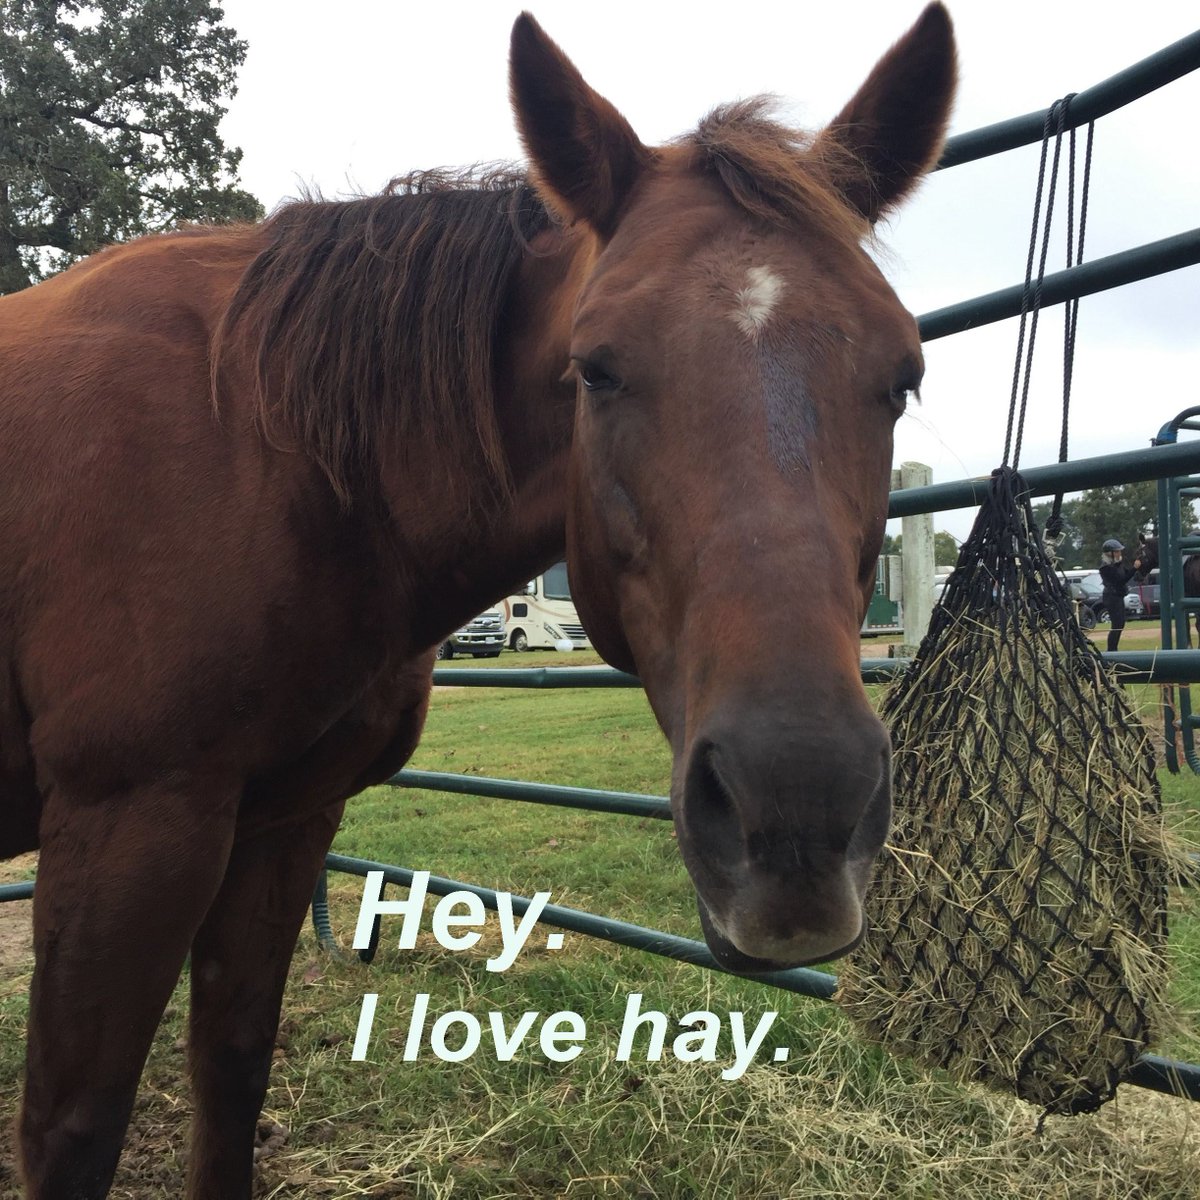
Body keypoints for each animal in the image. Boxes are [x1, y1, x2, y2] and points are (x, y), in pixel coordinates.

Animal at [0, 7, 956, 1196]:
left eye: (903, 376)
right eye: (596, 368)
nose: (798, 816)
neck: (261, 446)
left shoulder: (282, 817)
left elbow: (230, 1066)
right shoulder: (127, 824)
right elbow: (73, 1129)